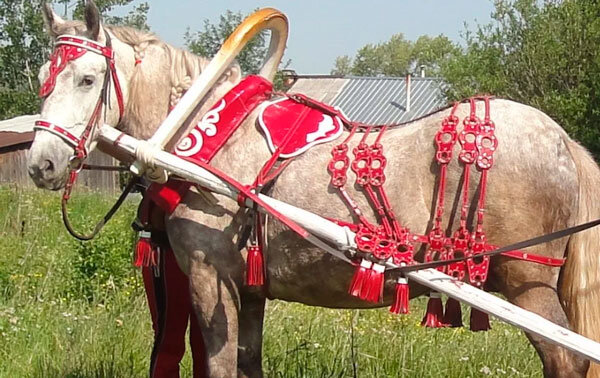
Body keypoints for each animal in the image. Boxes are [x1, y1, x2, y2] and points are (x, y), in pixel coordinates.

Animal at [25, 1, 600, 376]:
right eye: (43, 78)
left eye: (88, 79)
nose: (41, 164)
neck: (213, 144)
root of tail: (563, 140)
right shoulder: (248, 290)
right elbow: (247, 363)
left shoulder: (211, 279)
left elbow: (219, 365)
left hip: (528, 287)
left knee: (567, 359)